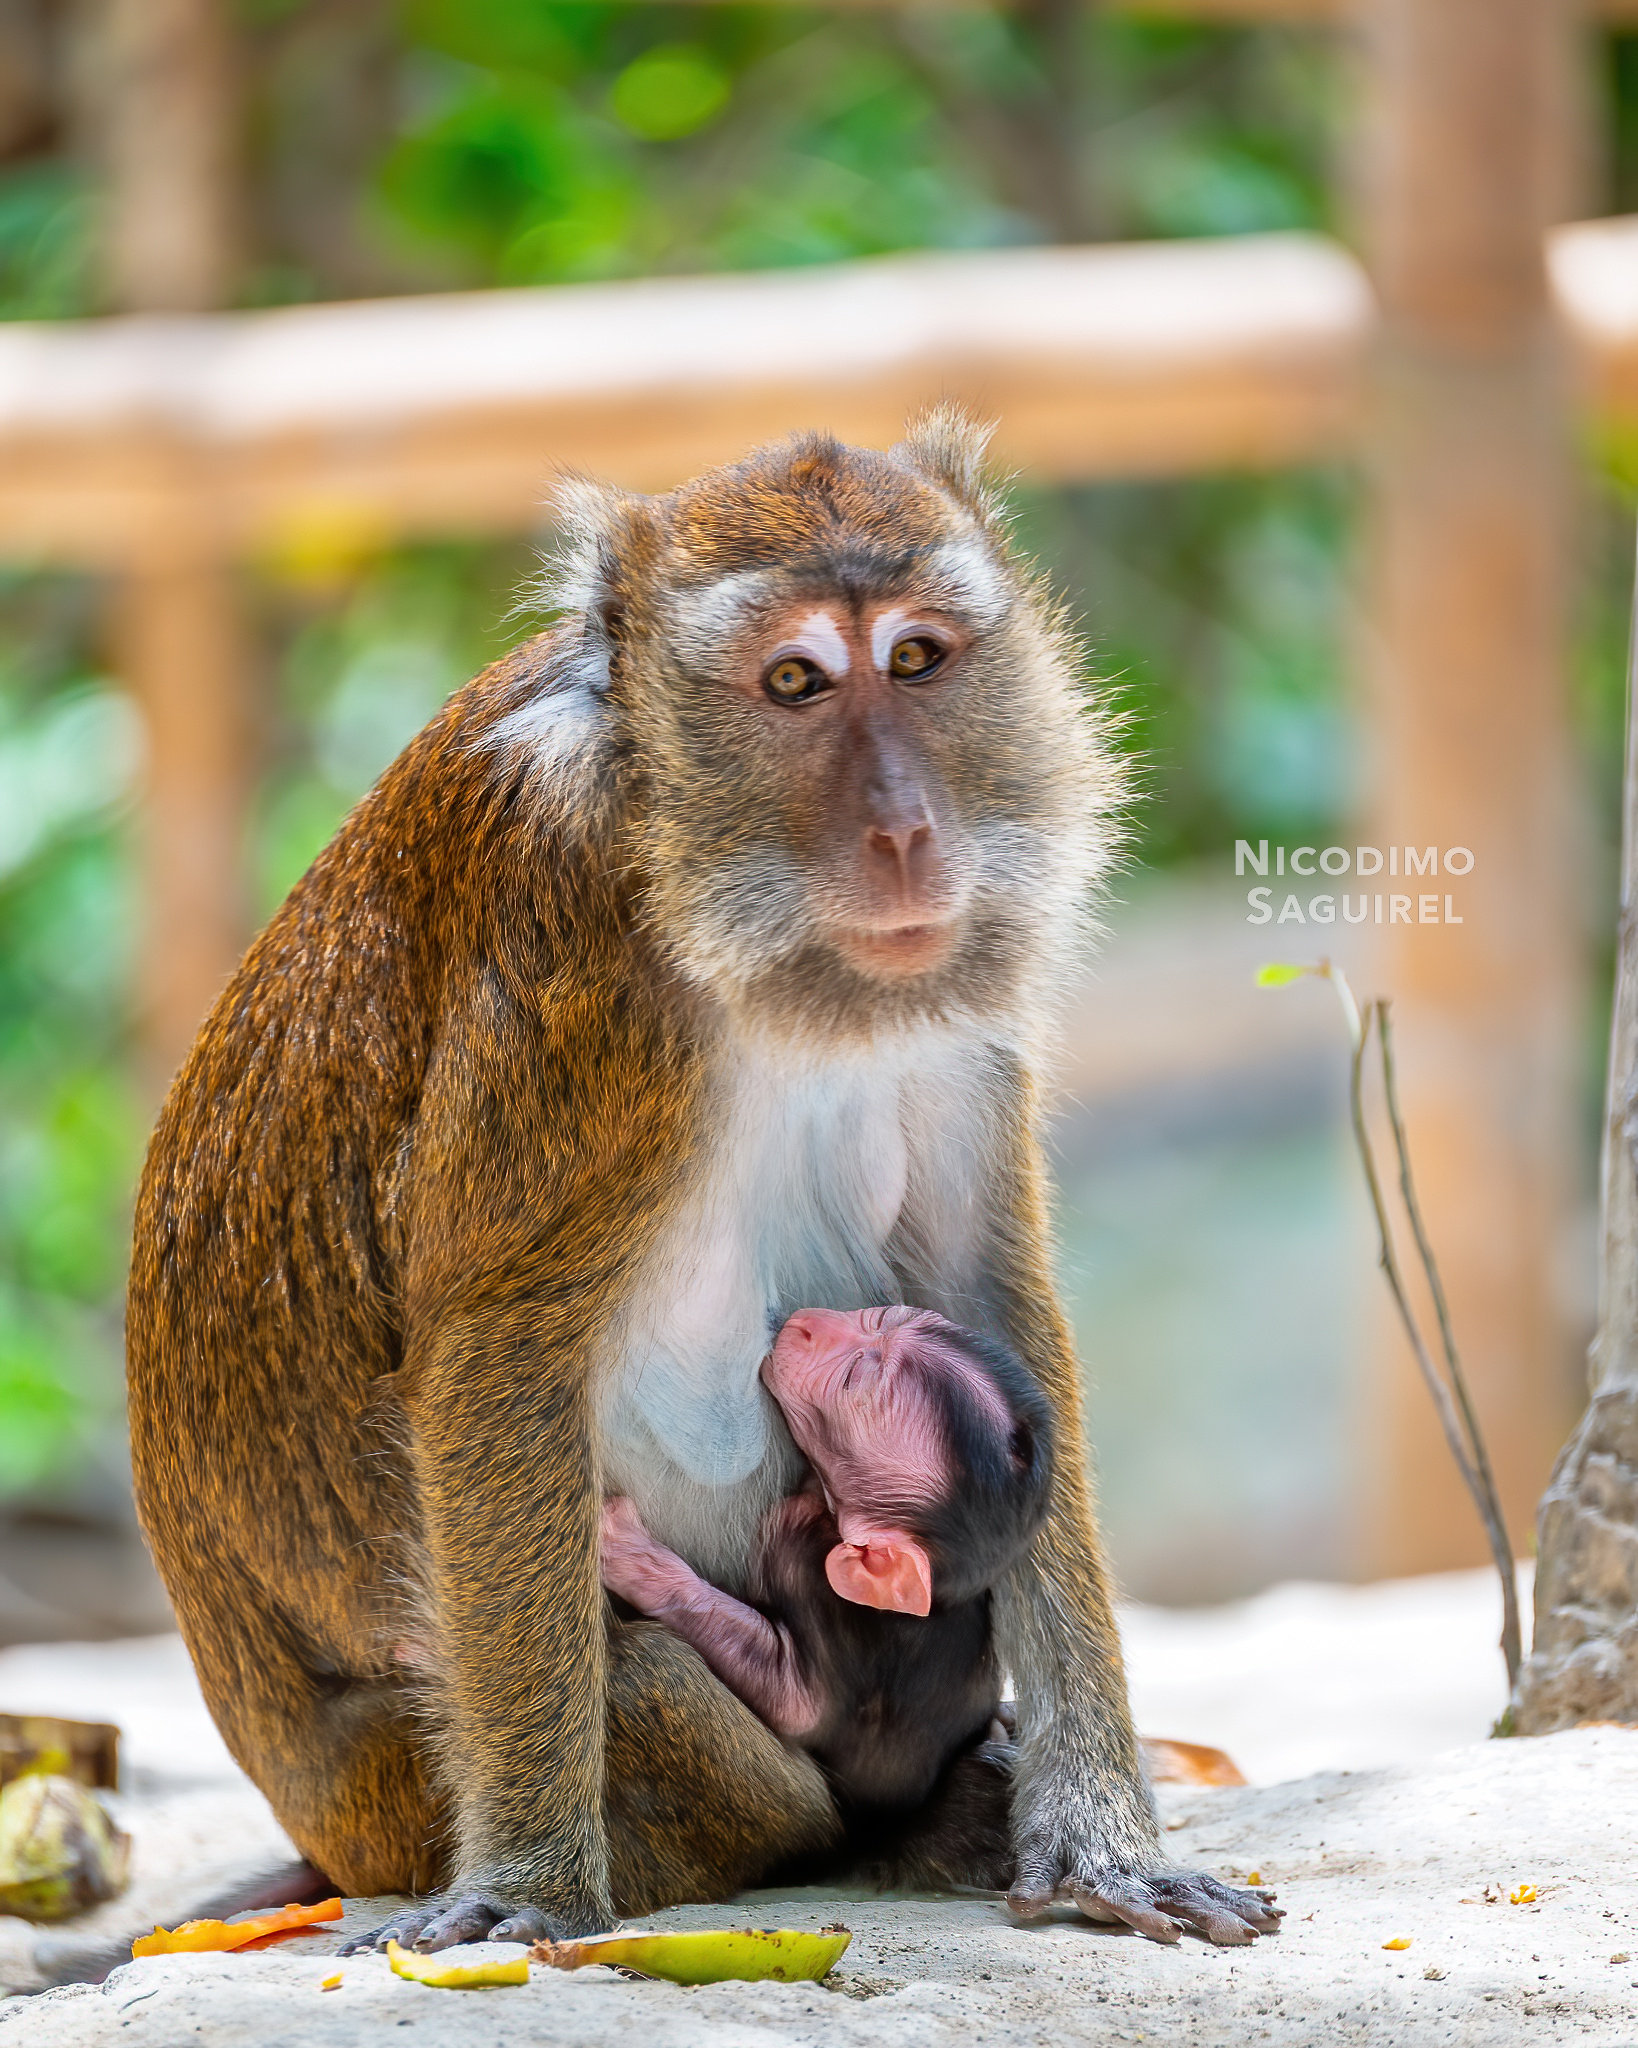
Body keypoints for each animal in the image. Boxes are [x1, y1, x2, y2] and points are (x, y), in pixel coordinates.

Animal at [600, 1304, 1052, 1821]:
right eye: (883, 1316)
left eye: (853, 1380)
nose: (811, 1323)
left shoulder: (819, 1583)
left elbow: (795, 1701)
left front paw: (634, 1556)